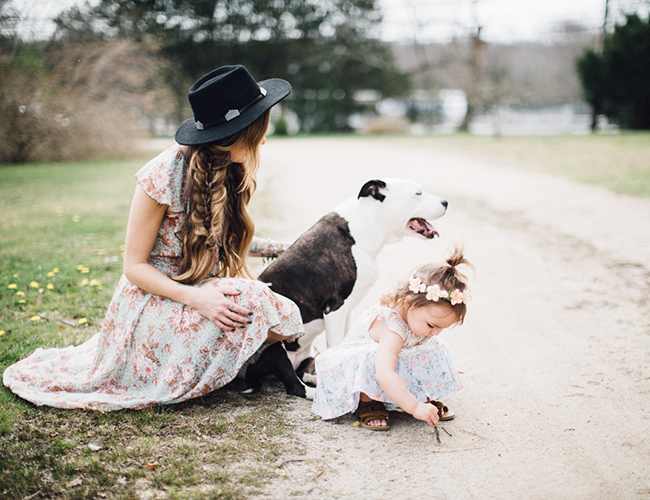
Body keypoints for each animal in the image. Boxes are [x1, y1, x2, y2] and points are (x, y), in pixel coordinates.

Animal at [243, 179, 446, 398]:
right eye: (418, 193)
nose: (445, 202)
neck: (367, 225)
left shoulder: (346, 311)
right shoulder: (335, 309)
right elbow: (335, 345)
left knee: (303, 373)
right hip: (274, 346)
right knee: (295, 386)